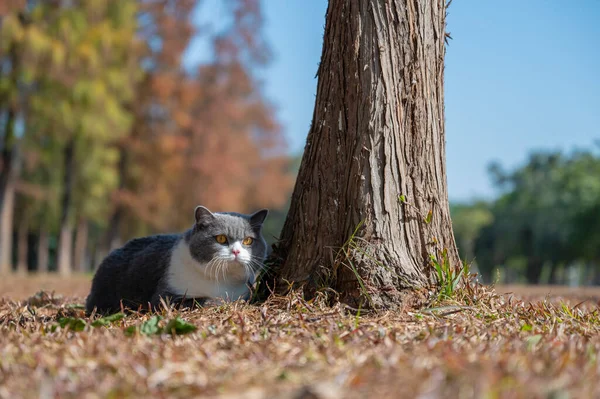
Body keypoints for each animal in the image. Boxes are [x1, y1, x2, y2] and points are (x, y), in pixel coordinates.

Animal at [85, 206, 268, 316]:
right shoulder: (165, 297)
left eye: (248, 241)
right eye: (221, 238)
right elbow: (202, 300)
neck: (222, 280)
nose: (236, 251)